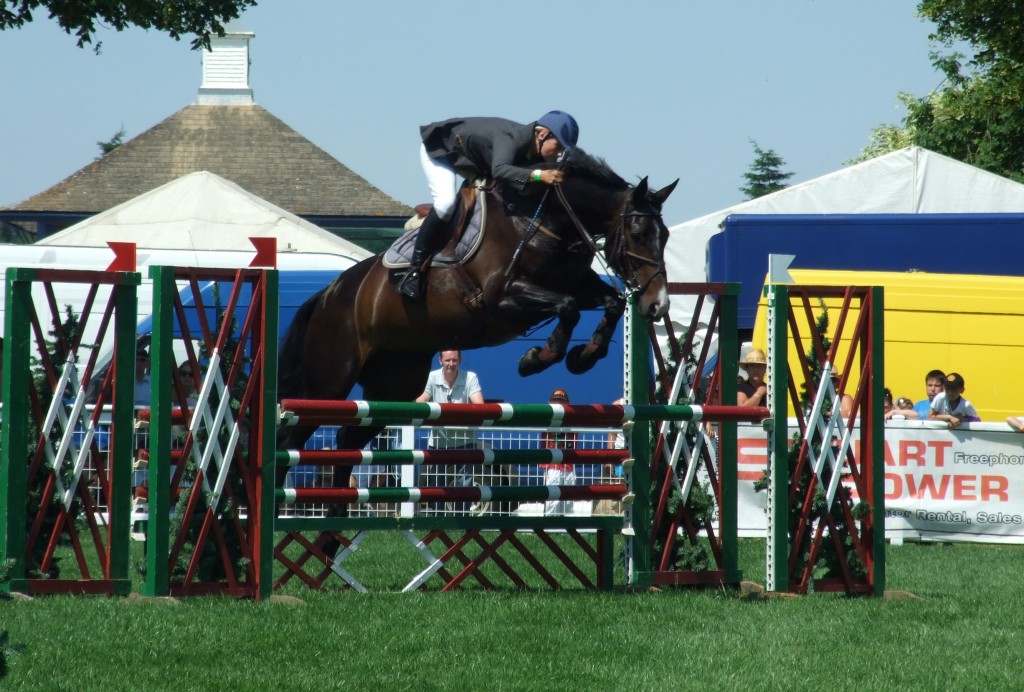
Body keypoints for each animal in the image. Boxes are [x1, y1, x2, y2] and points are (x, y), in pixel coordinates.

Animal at [278, 150, 679, 483]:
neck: (548, 220)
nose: (657, 306)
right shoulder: (500, 300)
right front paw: (537, 358)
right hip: (329, 382)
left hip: (393, 382)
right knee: (291, 437)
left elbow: (610, 303)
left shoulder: (577, 285)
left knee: (349, 439)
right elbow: (568, 307)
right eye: (638, 233)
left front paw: (584, 356)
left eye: (665, 236)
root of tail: (328, 293)